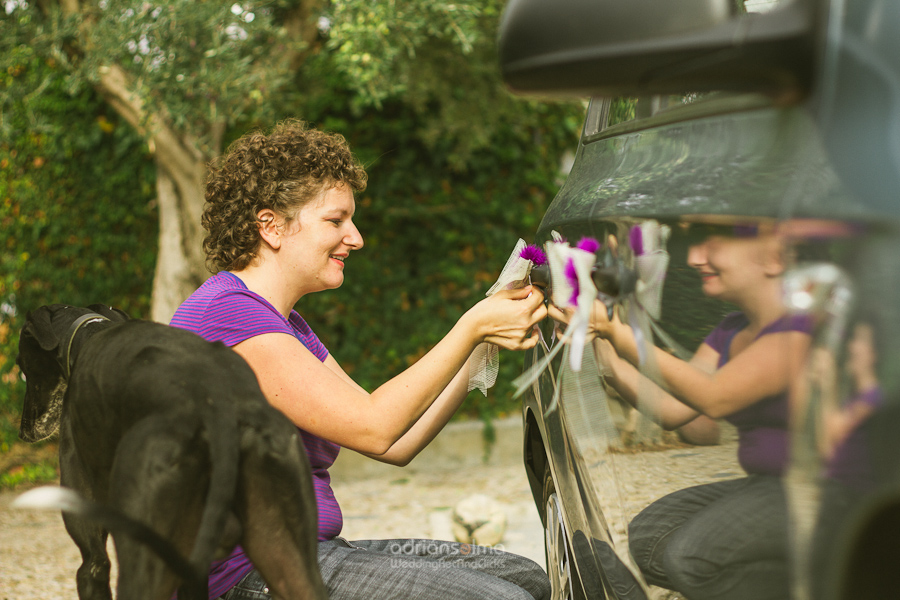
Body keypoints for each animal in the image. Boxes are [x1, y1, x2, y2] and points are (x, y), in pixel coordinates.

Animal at [15, 304, 326, 600]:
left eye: (21, 365)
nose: (23, 431)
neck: (87, 333)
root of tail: (217, 405)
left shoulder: (92, 557)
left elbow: (93, 567)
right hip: (284, 550)